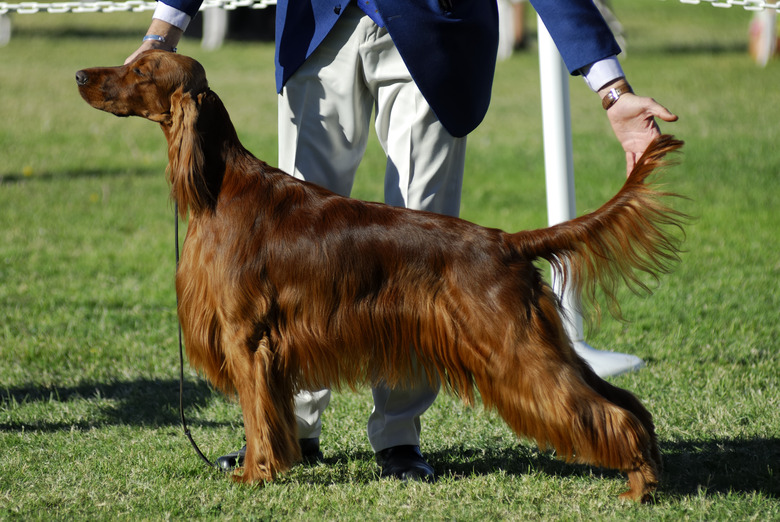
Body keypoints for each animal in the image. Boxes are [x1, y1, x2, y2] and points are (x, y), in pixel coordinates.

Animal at [74, 49, 684, 500]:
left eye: (141, 70)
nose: (80, 75)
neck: (218, 187)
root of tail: (505, 241)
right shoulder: (268, 348)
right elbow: (271, 415)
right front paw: (273, 466)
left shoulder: (247, 338)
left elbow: (256, 418)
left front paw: (254, 475)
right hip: (540, 342)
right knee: (624, 402)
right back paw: (649, 473)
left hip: (515, 349)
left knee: (604, 411)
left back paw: (638, 485)